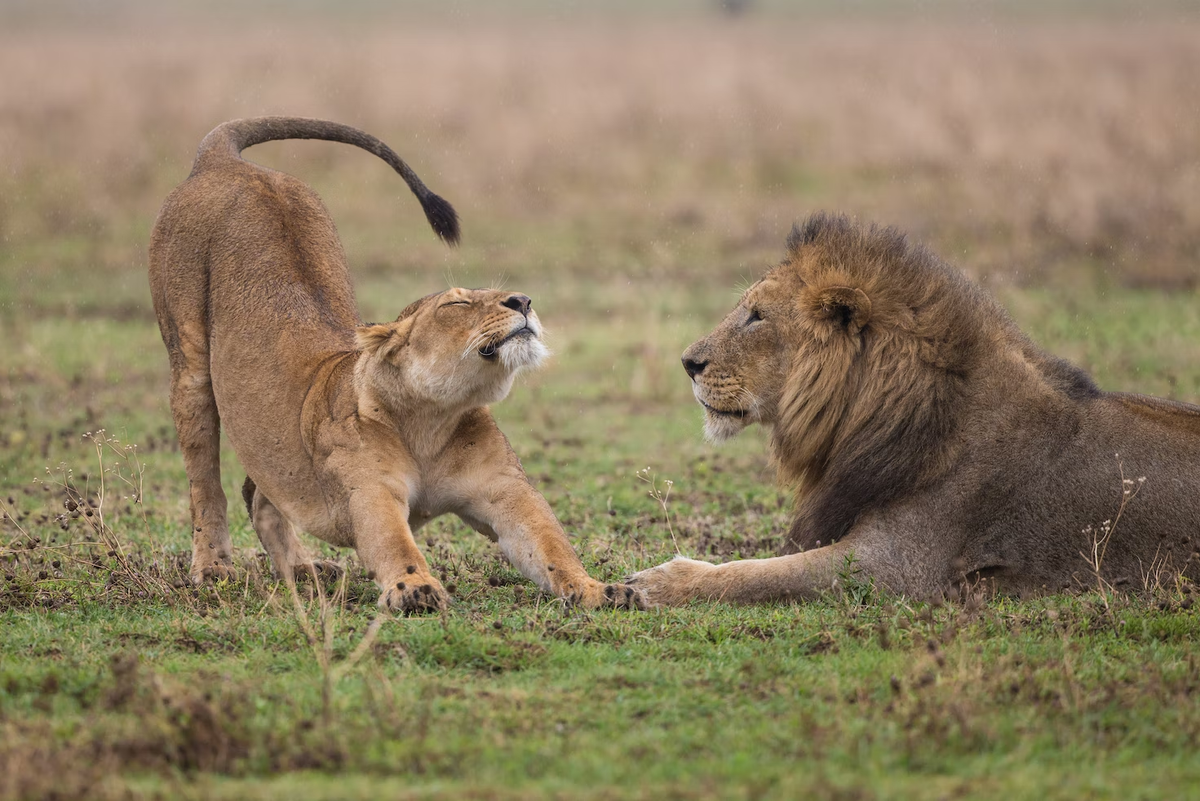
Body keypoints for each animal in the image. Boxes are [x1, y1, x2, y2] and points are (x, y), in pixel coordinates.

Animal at [151, 115, 648, 609]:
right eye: (456, 303)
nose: (523, 301)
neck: (432, 420)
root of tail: (226, 162)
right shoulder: (371, 492)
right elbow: (394, 543)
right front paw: (415, 587)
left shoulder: (505, 491)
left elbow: (550, 546)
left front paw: (600, 589)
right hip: (189, 366)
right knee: (206, 483)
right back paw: (213, 569)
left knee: (260, 493)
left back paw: (304, 570)